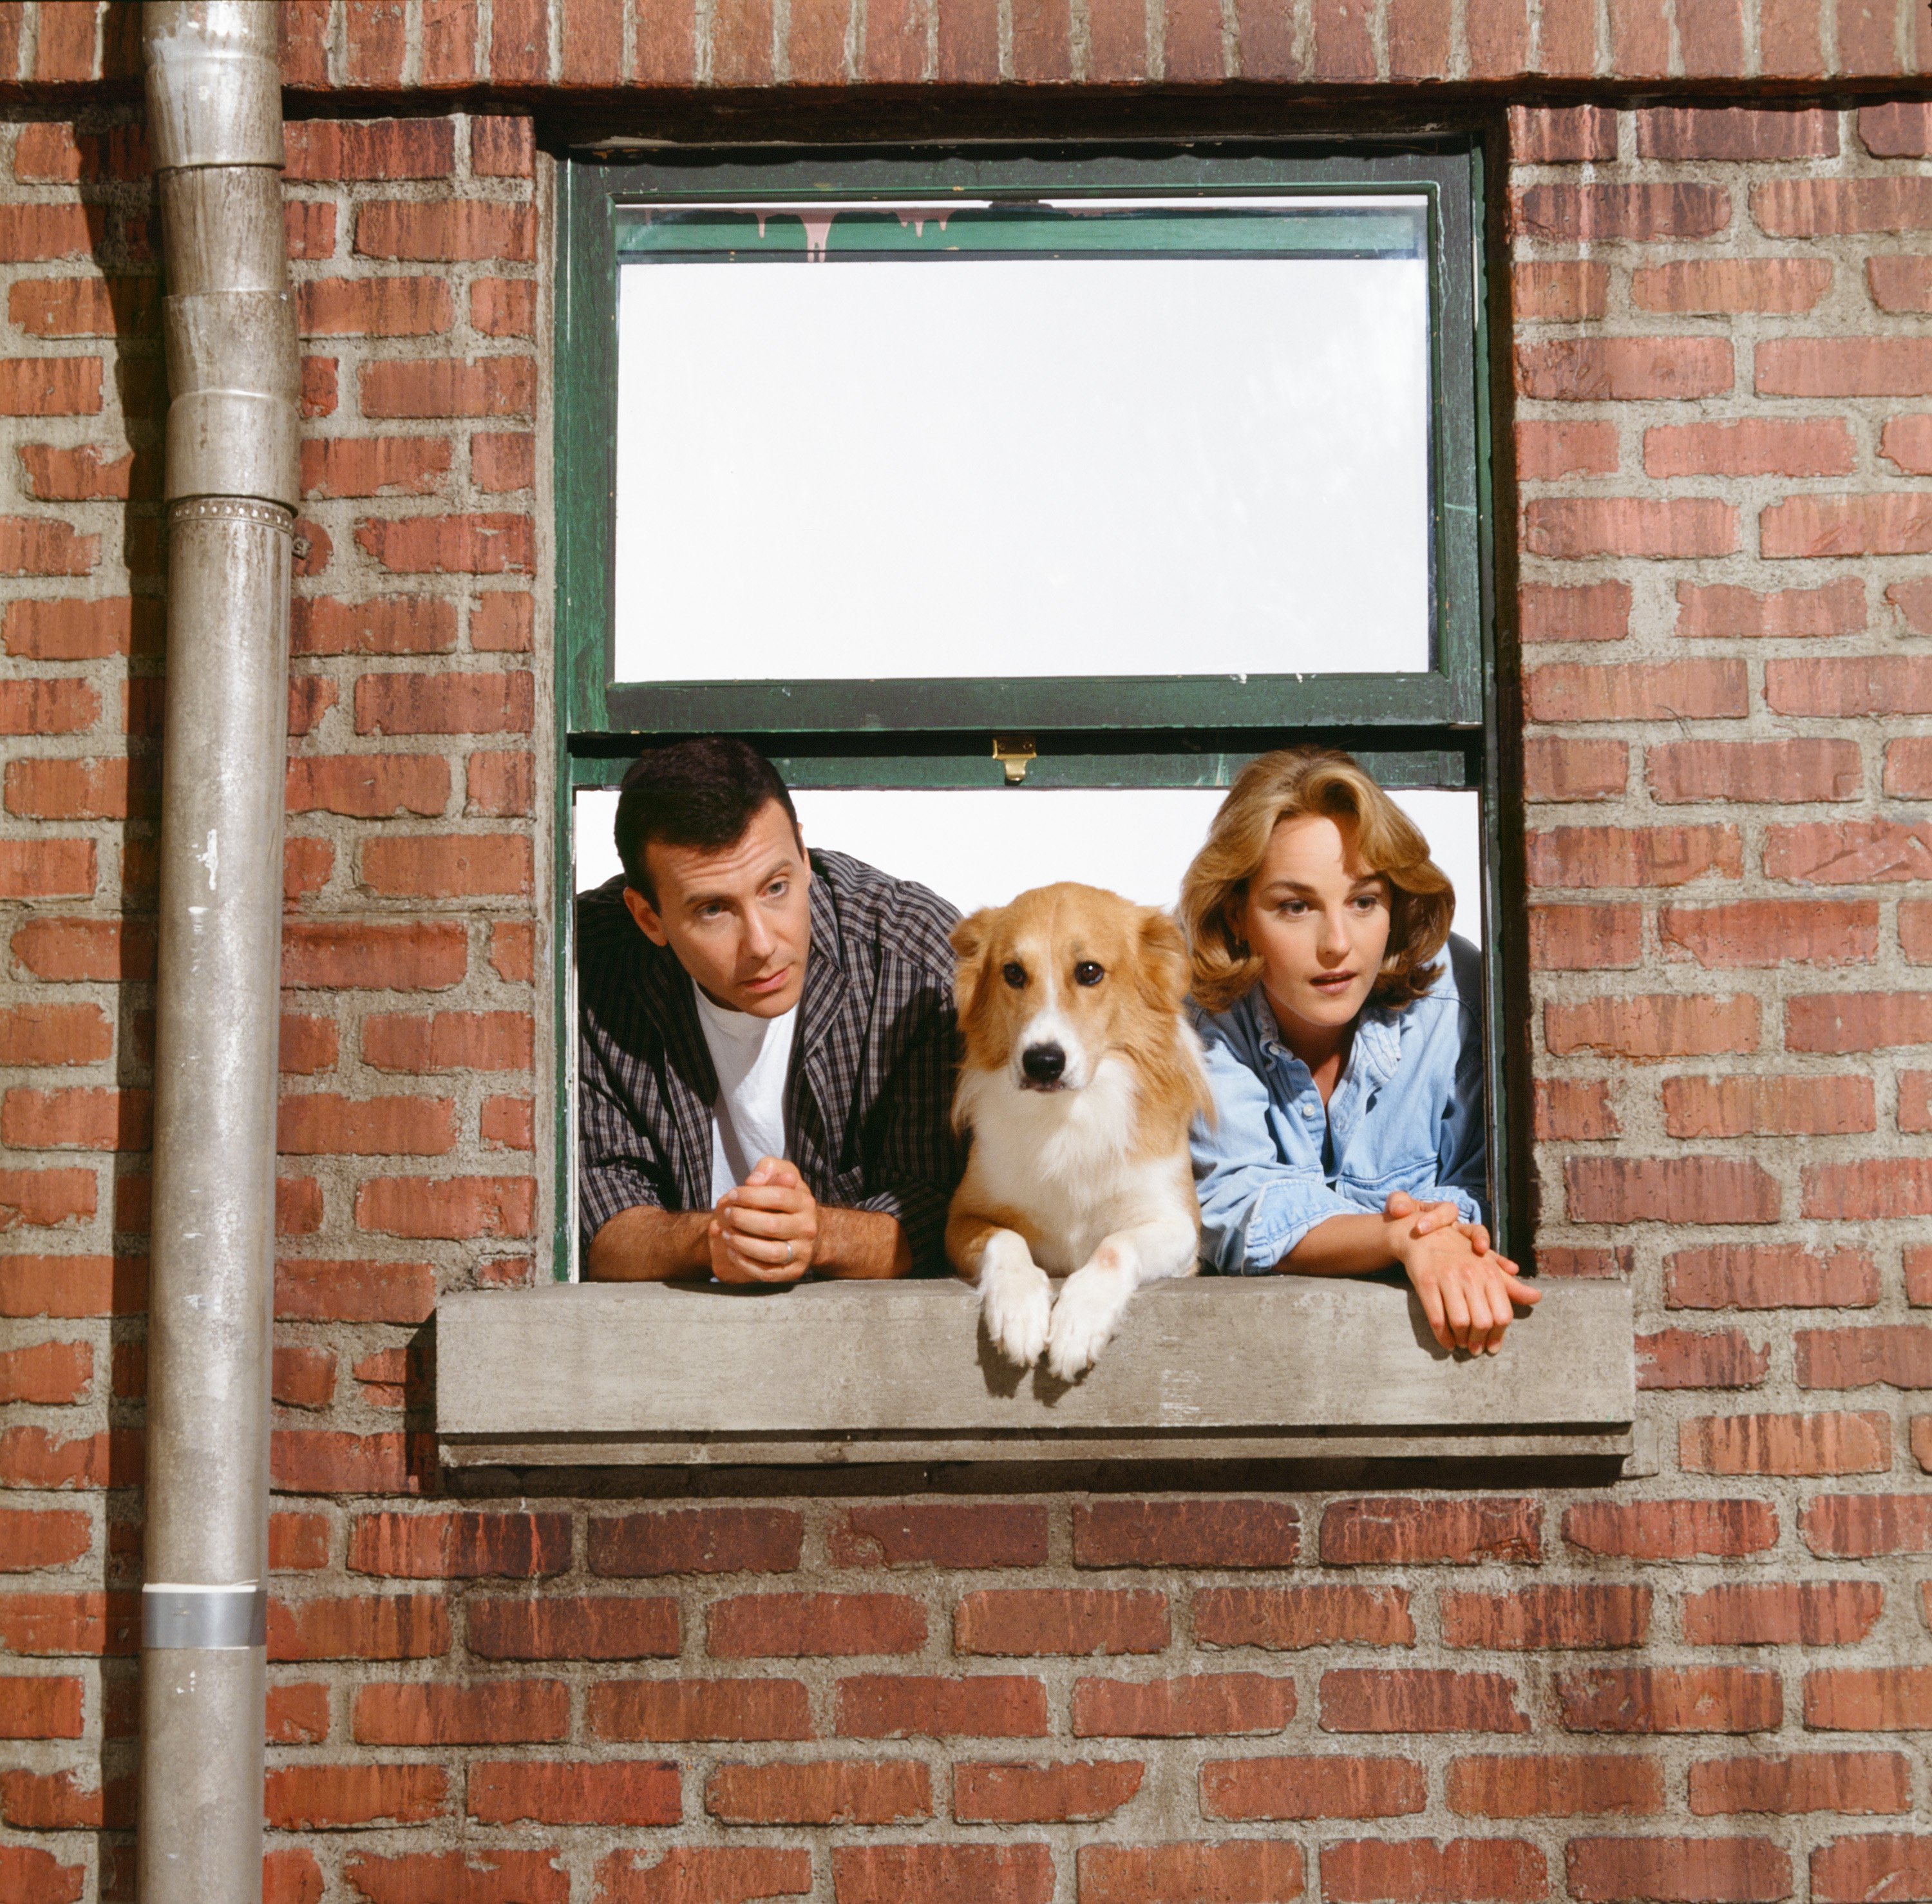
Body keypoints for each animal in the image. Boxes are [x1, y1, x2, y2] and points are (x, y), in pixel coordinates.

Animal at [947, 885, 1206, 1376]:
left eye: (1089, 972)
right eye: (1013, 973)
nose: (1043, 1062)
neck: (1068, 1116)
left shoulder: (1179, 1227)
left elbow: (1114, 1245)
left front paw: (1078, 1322)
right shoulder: (962, 1218)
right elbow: (1007, 1239)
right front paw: (1019, 1310)